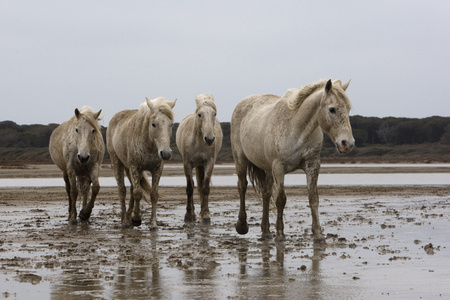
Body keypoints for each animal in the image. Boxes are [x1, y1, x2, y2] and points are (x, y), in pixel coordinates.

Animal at [106, 97, 177, 229]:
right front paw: (137, 219)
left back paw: (128, 217)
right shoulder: (135, 168)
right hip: (118, 163)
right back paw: (124, 220)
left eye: (171, 124)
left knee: (131, 189)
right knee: (122, 190)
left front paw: (153, 224)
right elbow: (138, 193)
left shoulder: (157, 169)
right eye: (153, 124)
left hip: (130, 169)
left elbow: (153, 194)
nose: (165, 153)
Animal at [177, 94, 224, 223]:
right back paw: (193, 213)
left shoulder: (209, 163)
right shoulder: (187, 164)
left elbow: (205, 187)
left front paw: (206, 215)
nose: (209, 139)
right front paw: (188, 215)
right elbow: (189, 187)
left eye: (214, 114)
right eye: (199, 114)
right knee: (193, 185)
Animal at [232, 78, 356, 243]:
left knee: (266, 194)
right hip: (241, 159)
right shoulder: (279, 168)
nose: (347, 143)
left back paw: (266, 232)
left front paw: (318, 234)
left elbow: (313, 198)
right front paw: (280, 234)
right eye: (332, 109)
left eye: (348, 109)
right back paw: (242, 226)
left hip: (268, 168)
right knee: (242, 187)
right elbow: (280, 200)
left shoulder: (312, 165)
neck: (297, 129)